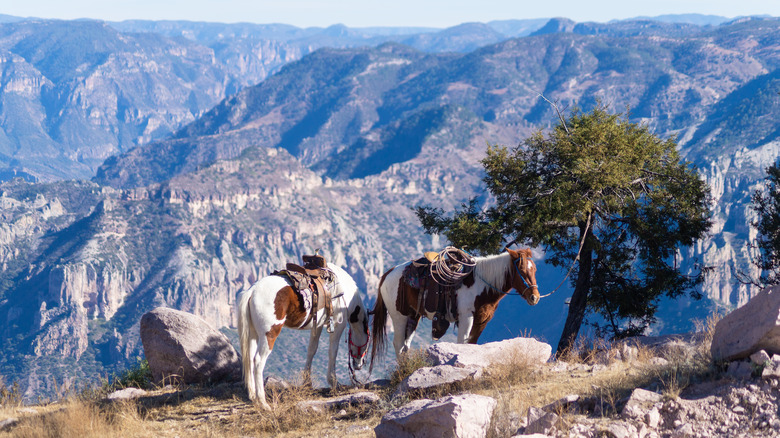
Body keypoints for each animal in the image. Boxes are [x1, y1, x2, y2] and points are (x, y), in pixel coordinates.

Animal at [236, 264, 370, 410]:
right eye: (368, 341)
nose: (359, 365)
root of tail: (252, 291)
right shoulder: (337, 325)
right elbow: (332, 352)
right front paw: (334, 382)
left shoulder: (317, 325)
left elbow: (312, 350)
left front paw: (307, 382)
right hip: (269, 335)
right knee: (258, 361)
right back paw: (263, 402)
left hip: (253, 334)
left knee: (249, 358)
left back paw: (253, 396)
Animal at [368, 246, 540, 366]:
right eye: (522, 270)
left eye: (535, 269)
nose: (535, 297)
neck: (481, 284)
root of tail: (387, 274)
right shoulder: (466, 317)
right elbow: (462, 343)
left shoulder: (482, 320)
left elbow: (471, 343)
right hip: (399, 316)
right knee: (398, 343)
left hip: (413, 316)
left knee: (406, 345)